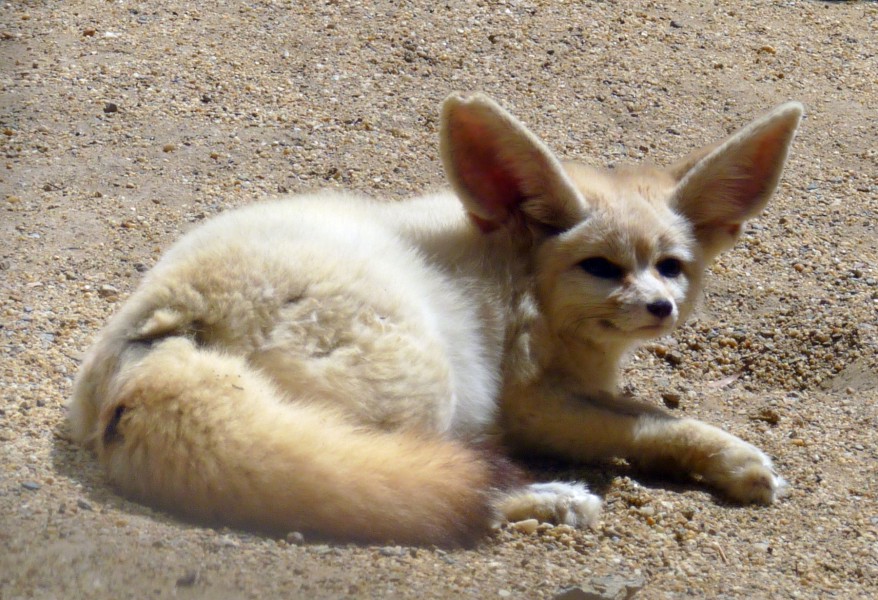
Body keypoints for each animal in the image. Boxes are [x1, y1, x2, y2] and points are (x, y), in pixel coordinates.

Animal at [68, 93, 803, 547]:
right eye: (601, 267)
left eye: (671, 266)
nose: (660, 307)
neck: (515, 272)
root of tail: (166, 326)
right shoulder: (530, 402)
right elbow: (651, 419)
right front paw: (736, 457)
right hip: (435, 383)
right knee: (426, 490)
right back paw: (556, 499)